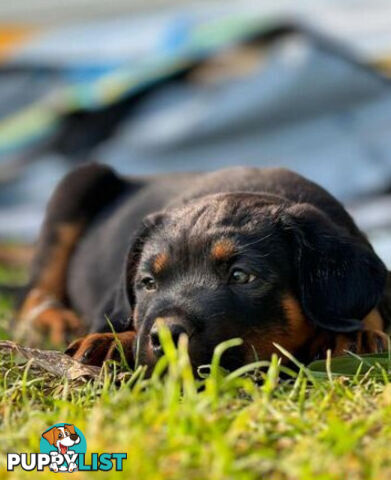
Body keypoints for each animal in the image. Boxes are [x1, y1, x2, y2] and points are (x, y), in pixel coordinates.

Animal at [16, 165, 391, 372]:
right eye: (147, 283)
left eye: (241, 276)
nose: (166, 337)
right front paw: (113, 342)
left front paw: (354, 336)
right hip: (75, 185)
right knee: (33, 293)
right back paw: (55, 319)